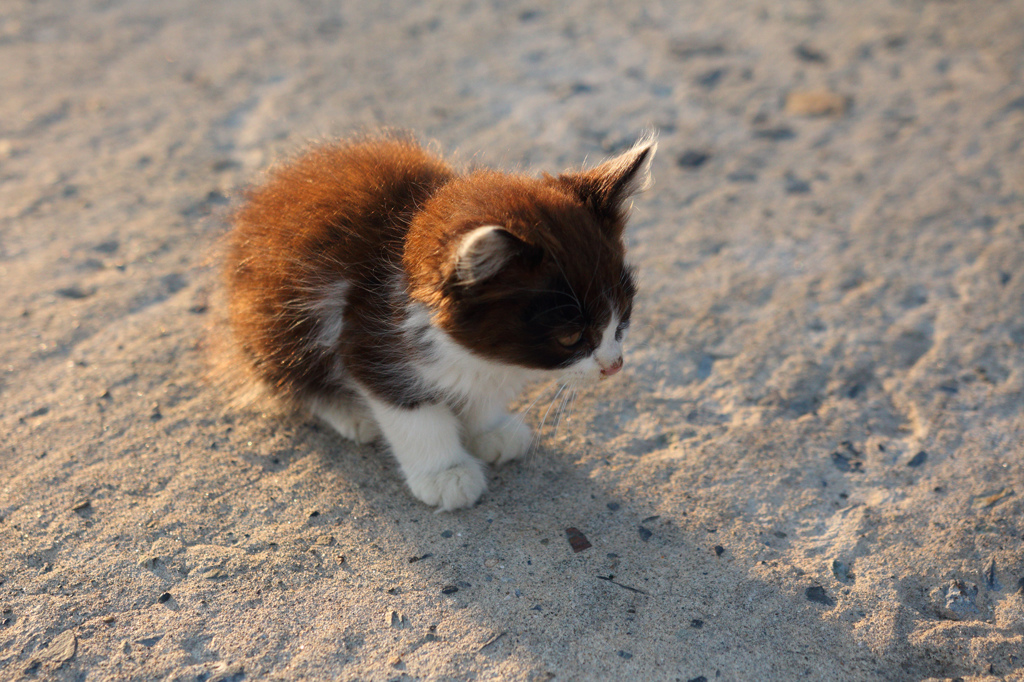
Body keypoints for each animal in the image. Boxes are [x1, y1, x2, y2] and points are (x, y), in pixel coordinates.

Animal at [224, 131, 655, 503]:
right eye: (570, 337)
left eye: (624, 314)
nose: (614, 366)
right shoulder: (370, 335)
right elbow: (413, 411)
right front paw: (445, 473)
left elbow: (482, 386)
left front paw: (490, 429)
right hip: (278, 316)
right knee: (288, 376)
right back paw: (349, 410)